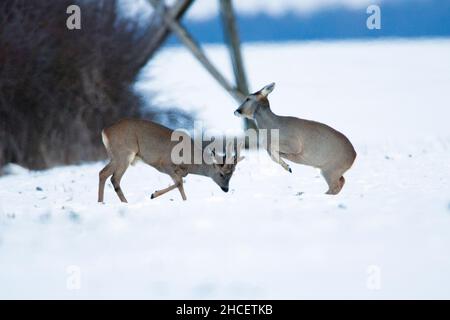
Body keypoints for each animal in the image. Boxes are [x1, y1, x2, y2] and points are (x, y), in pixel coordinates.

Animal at [97, 117, 243, 202]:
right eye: (221, 174)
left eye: (232, 174)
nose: (226, 189)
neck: (190, 161)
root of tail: (104, 131)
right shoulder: (165, 164)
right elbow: (179, 183)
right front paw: (185, 201)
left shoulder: (179, 171)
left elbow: (179, 182)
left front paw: (154, 194)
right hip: (124, 154)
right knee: (114, 178)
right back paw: (125, 203)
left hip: (115, 156)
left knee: (102, 173)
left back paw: (101, 202)